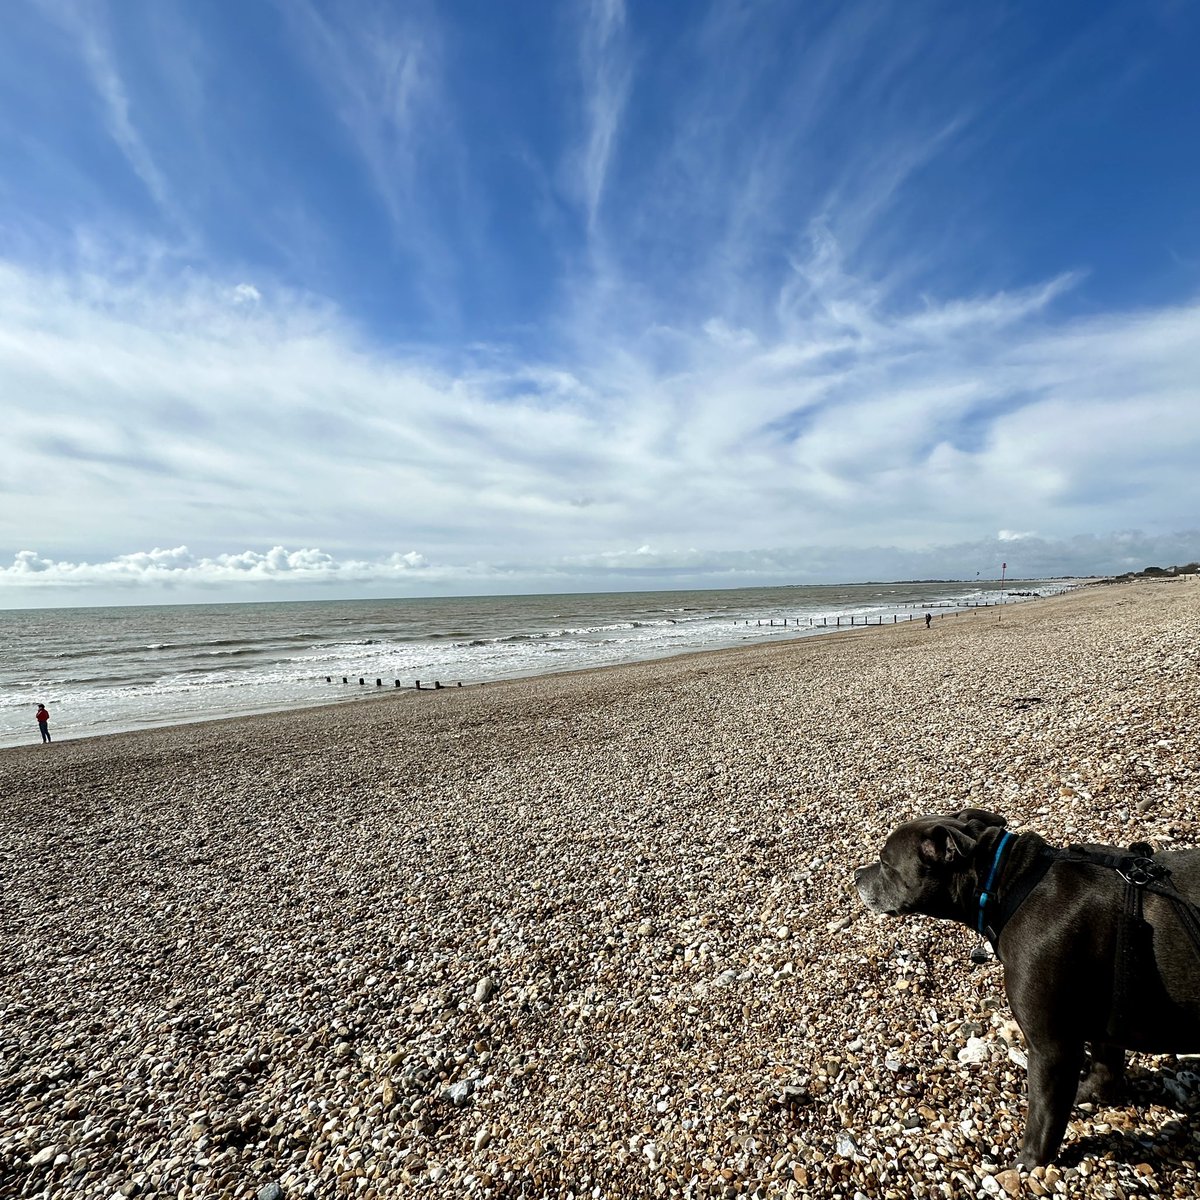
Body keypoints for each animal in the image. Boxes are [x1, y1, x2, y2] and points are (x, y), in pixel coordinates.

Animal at [854, 811, 1200, 1166]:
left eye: (885, 862)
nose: (855, 875)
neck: (1007, 885)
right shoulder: (1105, 1016)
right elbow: (1105, 1066)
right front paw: (1088, 1094)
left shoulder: (1051, 1048)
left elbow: (1043, 1118)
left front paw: (1028, 1164)